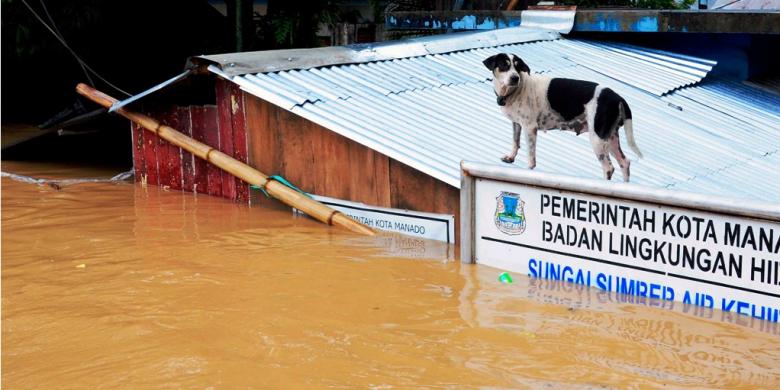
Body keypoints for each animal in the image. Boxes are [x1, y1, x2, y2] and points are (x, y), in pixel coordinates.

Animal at [484, 52, 644, 182]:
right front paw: (511, 157)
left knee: (609, 168)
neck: (516, 90)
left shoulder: (530, 128)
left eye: (518, 68)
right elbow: (515, 141)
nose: (515, 78)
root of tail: (618, 97)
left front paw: (528, 171)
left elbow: (531, 155)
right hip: (610, 138)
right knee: (624, 162)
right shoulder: (517, 124)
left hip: (597, 139)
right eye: (504, 65)